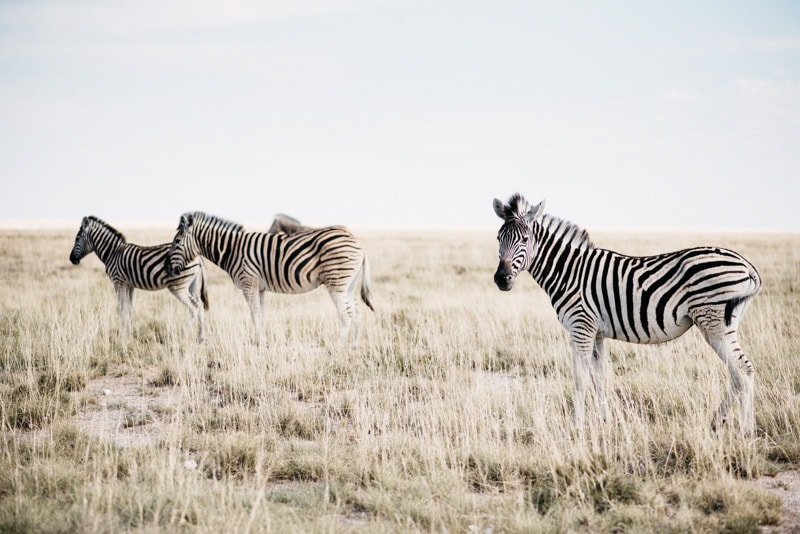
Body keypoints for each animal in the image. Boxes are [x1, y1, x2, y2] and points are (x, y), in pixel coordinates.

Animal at [70, 215, 209, 344]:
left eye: (77, 238)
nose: (71, 259)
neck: (113, 253)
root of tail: (198, 257)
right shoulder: (129, 285)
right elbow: (129, 307)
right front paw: (130, 332)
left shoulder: (118, 282)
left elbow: (121, 307)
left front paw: (122, 334)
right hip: (192, 284)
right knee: (200, 305)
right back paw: (201, 337)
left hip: (178, 286)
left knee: (194, 307)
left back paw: (183, 337)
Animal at [165, 211, 376, 346]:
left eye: (177, 241)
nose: (168, 268)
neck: (232, 250)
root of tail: (358, 242)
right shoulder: (259, 288)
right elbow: (261, 314)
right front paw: (262, 341)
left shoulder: (248, 284)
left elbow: (254, 314)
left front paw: (259, 343)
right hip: (348, 284)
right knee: (357, 312)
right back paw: (354, 345)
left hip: (336, 282)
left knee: (346, 314)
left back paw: (338, 347)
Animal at [494, 195, 764, 438]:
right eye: (498, 239)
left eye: (525, 239)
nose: (501, 279)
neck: (569, 272)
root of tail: (746, 265)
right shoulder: (596, 333)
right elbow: (599, 378)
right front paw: (604, 421)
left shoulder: (581, 327)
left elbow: (580, 378)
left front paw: (575, 427)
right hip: (722, 324)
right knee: (740, 374)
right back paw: (722, 423)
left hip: (714, 323)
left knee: (743, 371)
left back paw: (743, 432)